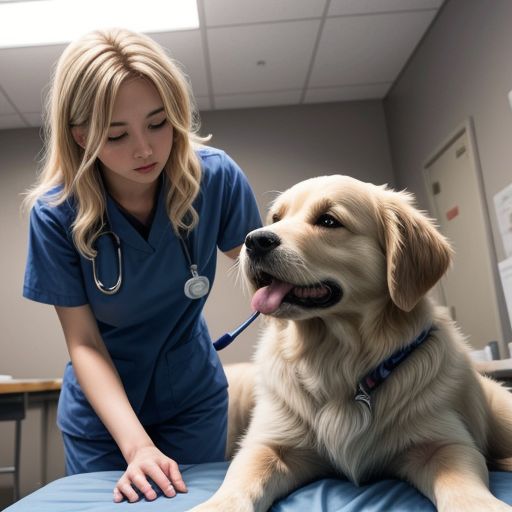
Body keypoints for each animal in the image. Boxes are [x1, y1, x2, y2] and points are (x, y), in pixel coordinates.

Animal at [191, 174, 512, 510]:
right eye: (276, 219)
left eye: (328, 221)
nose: (253, 241)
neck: (336, 357)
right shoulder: (268, 446)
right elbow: (236, 486)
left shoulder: (442, 445)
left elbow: (462, 486)